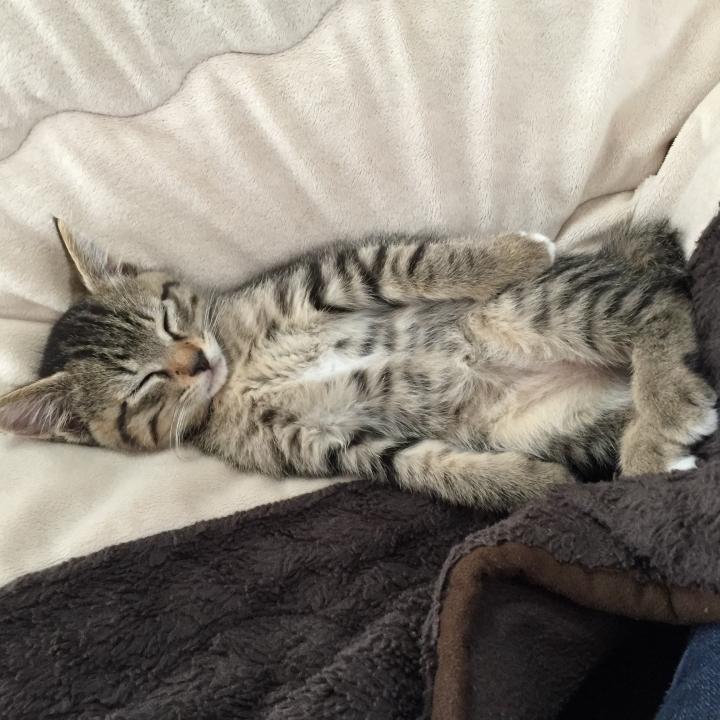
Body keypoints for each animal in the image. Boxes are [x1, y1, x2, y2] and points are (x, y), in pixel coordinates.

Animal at [0, 218, 716, 510]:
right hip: (545, 420)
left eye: (170, 316)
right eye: (145, 385)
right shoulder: (313, 442)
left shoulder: (328, 275)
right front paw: (529, 486)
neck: (237, 371)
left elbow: (412, 262)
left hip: (524, 309)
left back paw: (663, 411)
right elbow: (412, 464)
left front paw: (516, 251)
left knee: (661, 308)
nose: (197, 360)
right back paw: (650, 448)